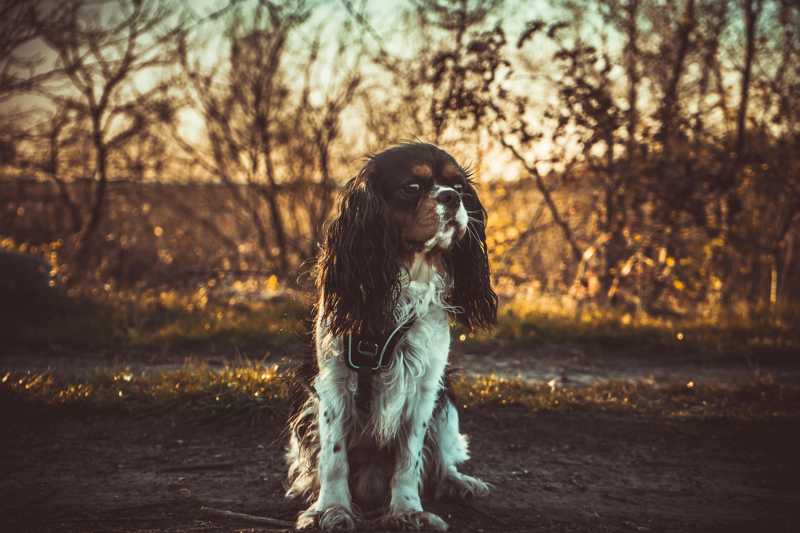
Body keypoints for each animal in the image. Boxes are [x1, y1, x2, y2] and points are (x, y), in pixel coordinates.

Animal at [284, 143, 496, 528]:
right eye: (411, 187)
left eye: (459, 186)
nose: (452, 197)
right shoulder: (333, 383)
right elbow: (334, 457)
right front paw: (331, 509)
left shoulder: (425, 387)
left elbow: (409, 458)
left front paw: (408, 510)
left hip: (446, 405)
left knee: (442, 459)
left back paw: (459, 482)